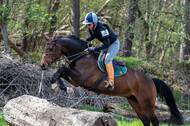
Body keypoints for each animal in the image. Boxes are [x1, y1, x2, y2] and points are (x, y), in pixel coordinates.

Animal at [40, 32, 184, 126]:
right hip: (134, 101)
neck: (82, 56)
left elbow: (61, 69)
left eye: (50, 48)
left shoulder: (81, 78)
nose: (42, 65)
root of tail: (151, 80)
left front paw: (57, 85)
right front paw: (60, 86)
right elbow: (61, 72)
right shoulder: (76, 80)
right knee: (145, 121)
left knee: (154, 121)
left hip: (147, 104)